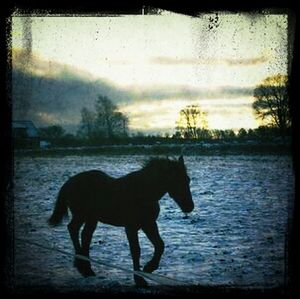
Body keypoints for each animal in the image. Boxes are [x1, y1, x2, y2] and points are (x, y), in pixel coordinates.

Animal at [47, 156, 193, 288]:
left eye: (188, 180)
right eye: (176, 180)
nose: (190, 206)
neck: (143, 192)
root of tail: (69, 182)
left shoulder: (149, 224)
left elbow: (160, 245)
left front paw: (149, 268)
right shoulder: (131, 227)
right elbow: (136, 250)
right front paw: (140, 280)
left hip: (91, 219)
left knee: (85, 235)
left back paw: (87, 270)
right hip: (81, 215)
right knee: (73, 229)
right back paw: (83, 266)